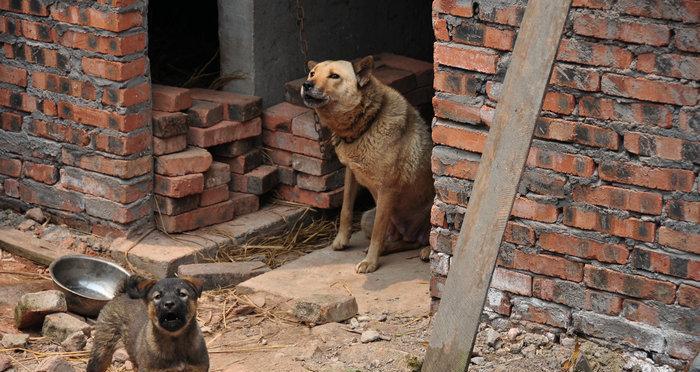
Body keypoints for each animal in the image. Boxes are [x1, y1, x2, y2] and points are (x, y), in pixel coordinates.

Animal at [302, 57, 434, 274]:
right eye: (312, 73)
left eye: (334, 76)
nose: (306, 85)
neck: (366, 126)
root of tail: (412, 233)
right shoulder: (351, 173)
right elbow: (345, 210)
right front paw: (341, 240)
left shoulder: (387, 190)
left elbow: (377, 233)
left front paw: (371, 262)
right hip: (367, 219)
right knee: (407, 242)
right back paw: (390, 247)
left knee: (424, 240)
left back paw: (427, 251)